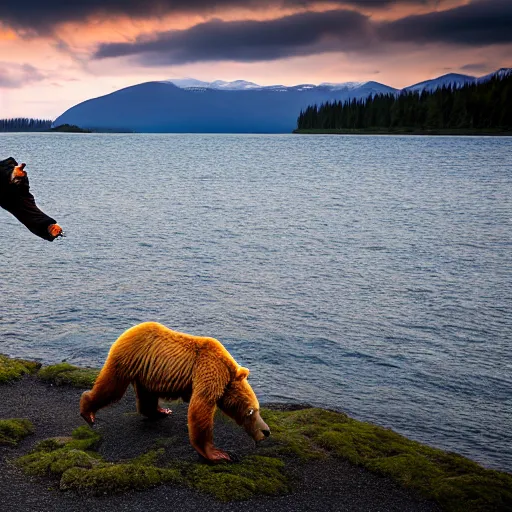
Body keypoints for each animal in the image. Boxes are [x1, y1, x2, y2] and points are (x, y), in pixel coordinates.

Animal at [80, 324, 270, 464]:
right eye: (251, 411)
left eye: (257, 409)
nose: (266, 431)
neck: (228, 372)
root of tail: (130, 329)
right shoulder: (209, 371)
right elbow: (201, 408)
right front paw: (217, 453)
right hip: (129, 358)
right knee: (112, 387)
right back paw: (87, 411)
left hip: (147, 371)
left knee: (147, 396)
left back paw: (160, 411)